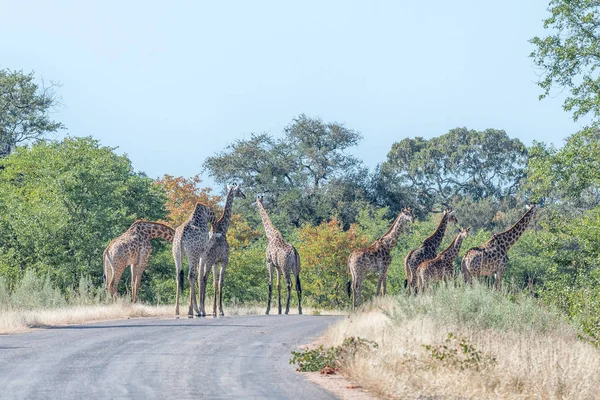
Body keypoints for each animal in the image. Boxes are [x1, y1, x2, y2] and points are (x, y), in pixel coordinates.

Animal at [199, 183, 246, 318]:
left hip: (202, 260)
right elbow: (220, 282)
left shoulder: (216, 262)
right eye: (239, 190)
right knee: (203, 278)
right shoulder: (224, 260)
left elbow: (215, 283)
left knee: (199, 279)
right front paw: (220, 311)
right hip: (208, 260)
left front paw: (214, 310)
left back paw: (200, 309)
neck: (224, 229)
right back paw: (202, 310)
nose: (244, 195)